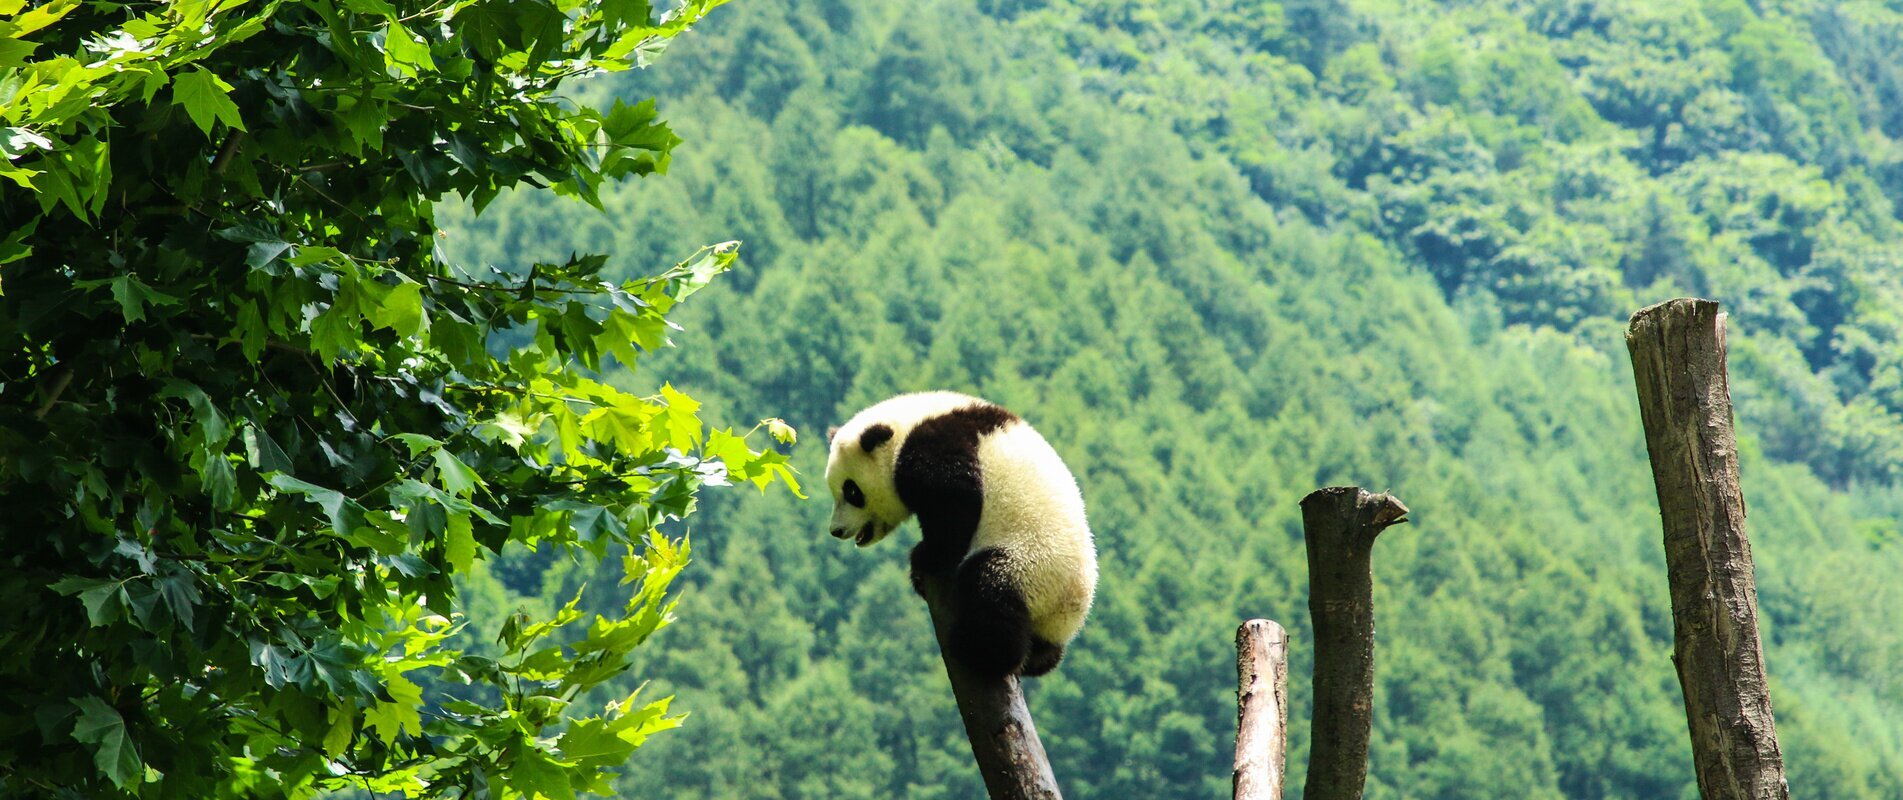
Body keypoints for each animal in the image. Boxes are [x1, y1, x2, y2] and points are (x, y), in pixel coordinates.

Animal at [825, 391, 1097, 678]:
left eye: (852, 491)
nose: (836, 530)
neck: (904, 427)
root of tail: (1068, 612)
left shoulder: (932, 450)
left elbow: (957, 503)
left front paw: (925, 557)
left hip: (1031, 562)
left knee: (989, 586)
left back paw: (977, 650)